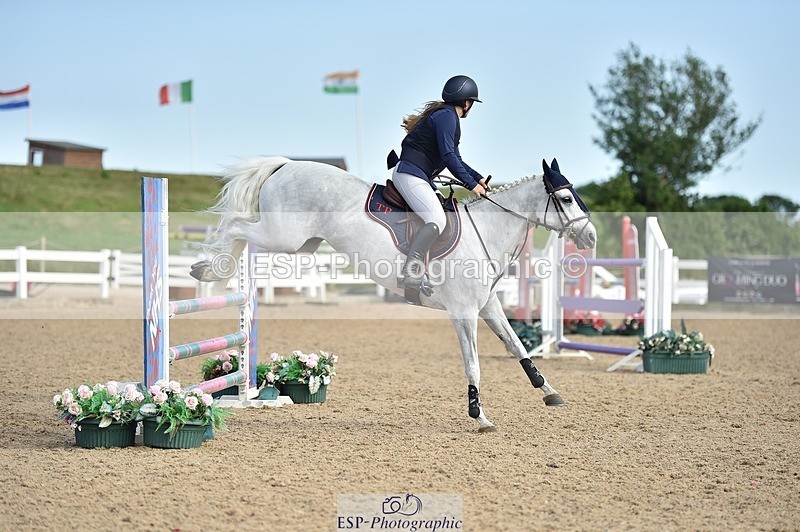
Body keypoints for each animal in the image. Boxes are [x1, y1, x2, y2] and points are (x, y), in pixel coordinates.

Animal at [190, 156, 597, 432]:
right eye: (565, 198)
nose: (591, 236)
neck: (488, 231)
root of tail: (287, 165)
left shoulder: (489, 306)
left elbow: (517, 347)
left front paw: (549, 391)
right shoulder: (463, 312)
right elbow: (474, 364)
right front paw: (479, 415)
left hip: (302, 243)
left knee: (241, 230)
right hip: (283, 236)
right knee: (235, 226)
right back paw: (207, 267)